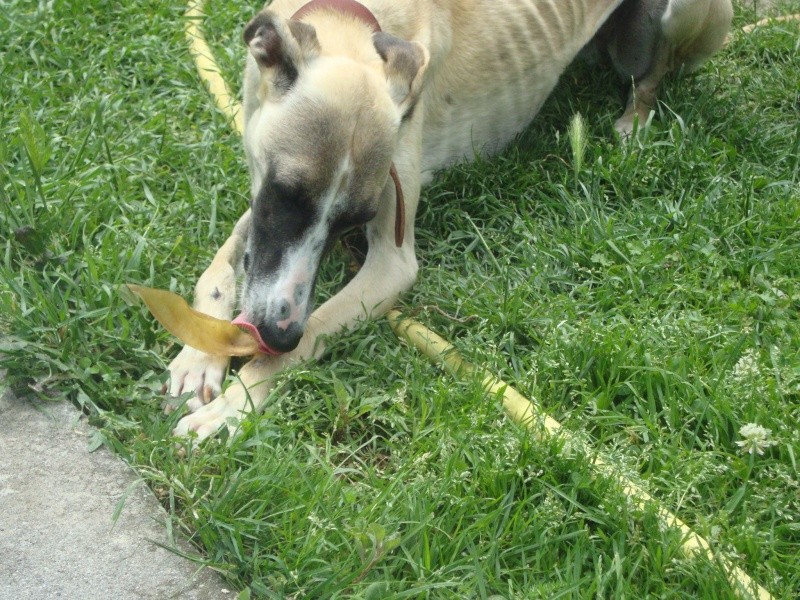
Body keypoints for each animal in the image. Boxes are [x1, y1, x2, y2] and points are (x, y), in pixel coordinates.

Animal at [166, 0, 736, 440]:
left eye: (355, 220)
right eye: (288, 193)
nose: (275, 333)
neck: (358, 22)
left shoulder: (391, 262)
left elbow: (313, 332)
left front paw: (235, 403)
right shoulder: (261, 199)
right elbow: (219, 268)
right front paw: (200, 353)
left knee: (652, 77)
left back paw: (634, 120)